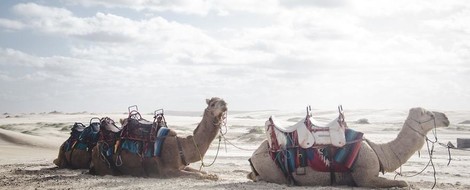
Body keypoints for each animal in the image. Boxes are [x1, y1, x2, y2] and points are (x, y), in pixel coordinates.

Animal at [90, 97, 228, 179]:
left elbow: (202, 171)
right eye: (213, 103)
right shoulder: (168, 171)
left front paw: (212, 174)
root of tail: (95, 148)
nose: (225, 104)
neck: (181, 146)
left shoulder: (182, 166)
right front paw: (211, 176)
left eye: (222, 100)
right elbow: (199, 174)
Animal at [248, 107, 450, 188]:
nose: (446, 118)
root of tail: (254, 154)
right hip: (271, 168)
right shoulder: (365, 178)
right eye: (429, 113)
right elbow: (403, 183)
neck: (380, 152)